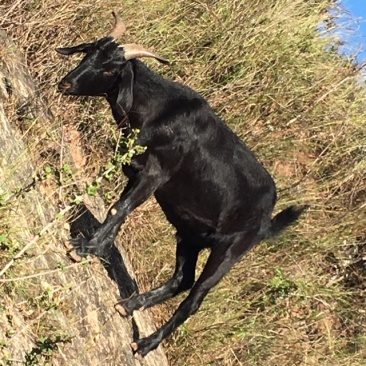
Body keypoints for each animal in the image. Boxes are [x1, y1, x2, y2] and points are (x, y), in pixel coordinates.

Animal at [56, 12, 304, 358]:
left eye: (110, 69)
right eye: (88, 53)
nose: (65, 83)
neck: (161, 111)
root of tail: (267, 219)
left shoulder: (156, 174)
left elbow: (120, 208)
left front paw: (82, 248)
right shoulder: (137, 174)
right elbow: (120, 210)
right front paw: (96, 246)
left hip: (229, 251)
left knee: (194, 299)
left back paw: (145, 344)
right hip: (191, 236)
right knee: (182, 279)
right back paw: (128, 305)